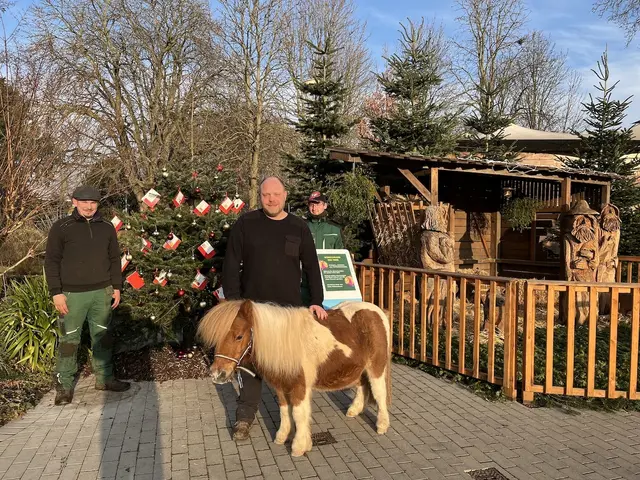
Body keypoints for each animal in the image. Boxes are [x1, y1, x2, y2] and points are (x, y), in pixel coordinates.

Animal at [197, 299, 392, 457]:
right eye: (217, 337)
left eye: (239, 336)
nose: (217, 374)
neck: (285, 343)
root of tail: (376, 310)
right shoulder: (281, 386)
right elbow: (284, 411)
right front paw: (281, 437)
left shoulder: (300, 387)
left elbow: (298, 414)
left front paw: (299, 446)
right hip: (358, 368)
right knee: (362, 386)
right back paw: (354, 410)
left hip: (376, 367)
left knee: (379, 392)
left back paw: (382, 426)